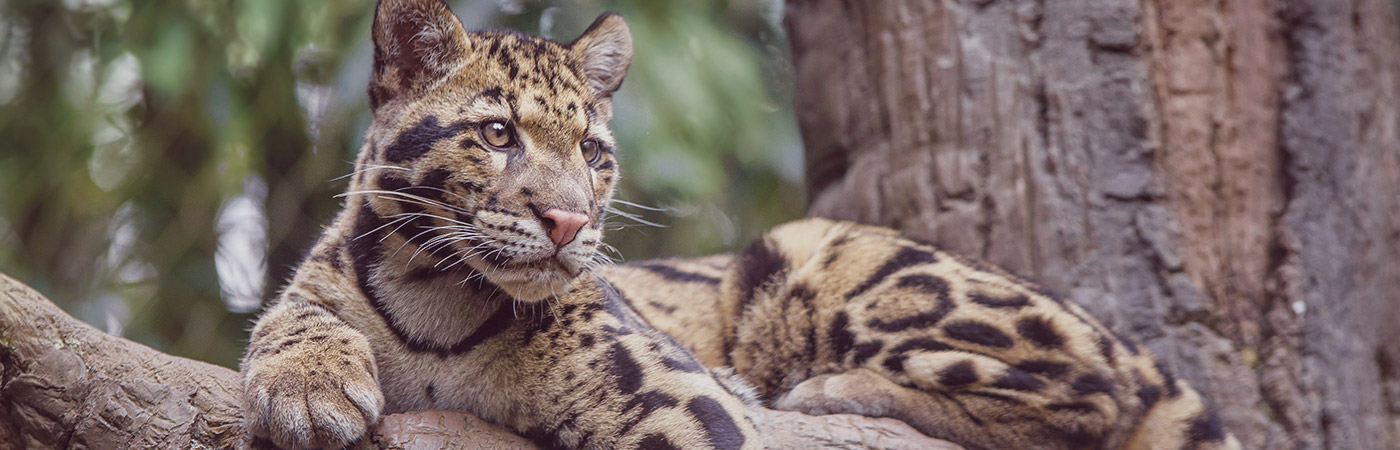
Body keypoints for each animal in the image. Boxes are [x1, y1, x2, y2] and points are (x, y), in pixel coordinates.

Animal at [240, 0, 1242, 449]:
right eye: (496, 134)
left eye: (594, 153)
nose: (567, 221)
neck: (436, 296)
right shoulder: (322, 280)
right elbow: (290, 316)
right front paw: (308, 388)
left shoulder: (667, 392)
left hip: (821, 254)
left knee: (1088, 401)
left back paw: (828, 392)